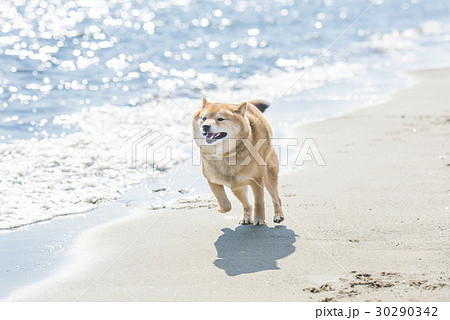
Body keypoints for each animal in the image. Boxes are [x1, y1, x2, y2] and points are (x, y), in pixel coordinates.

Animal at [192, 97, 284, 225]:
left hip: (268, 175)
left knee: (276, 198)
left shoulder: (257, 180)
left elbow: (259, 202)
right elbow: (225, 204)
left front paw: (259, 219)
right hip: (236, 187)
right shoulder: (212, 180)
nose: (205, 126)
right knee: (246, 204)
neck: (225, 155)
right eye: (204, 118)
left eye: (220, 119)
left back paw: (278, 215)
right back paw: (246, 217)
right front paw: (220, 209)